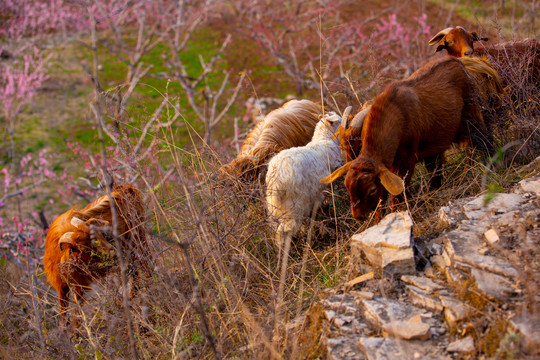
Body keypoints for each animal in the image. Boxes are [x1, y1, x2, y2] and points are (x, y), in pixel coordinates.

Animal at [43, 184, 149, 322]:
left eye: (101, 235)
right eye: (85, 249)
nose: (113, 252)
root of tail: (125, 188)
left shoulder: (81, 287)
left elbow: (77, 312)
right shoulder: (62, 287)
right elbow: (64, 312)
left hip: (139, 241)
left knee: (145, 264)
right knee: (135, 270)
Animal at [320, 57, 502, 219]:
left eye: (370, 189)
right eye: (348, 187)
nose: (358, 216)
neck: (395, 114)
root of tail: (461, 63)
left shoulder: (406, 162)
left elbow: (398, 194)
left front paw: (395, 215)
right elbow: (384, 197)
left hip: (472, 117)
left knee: (485, 142)